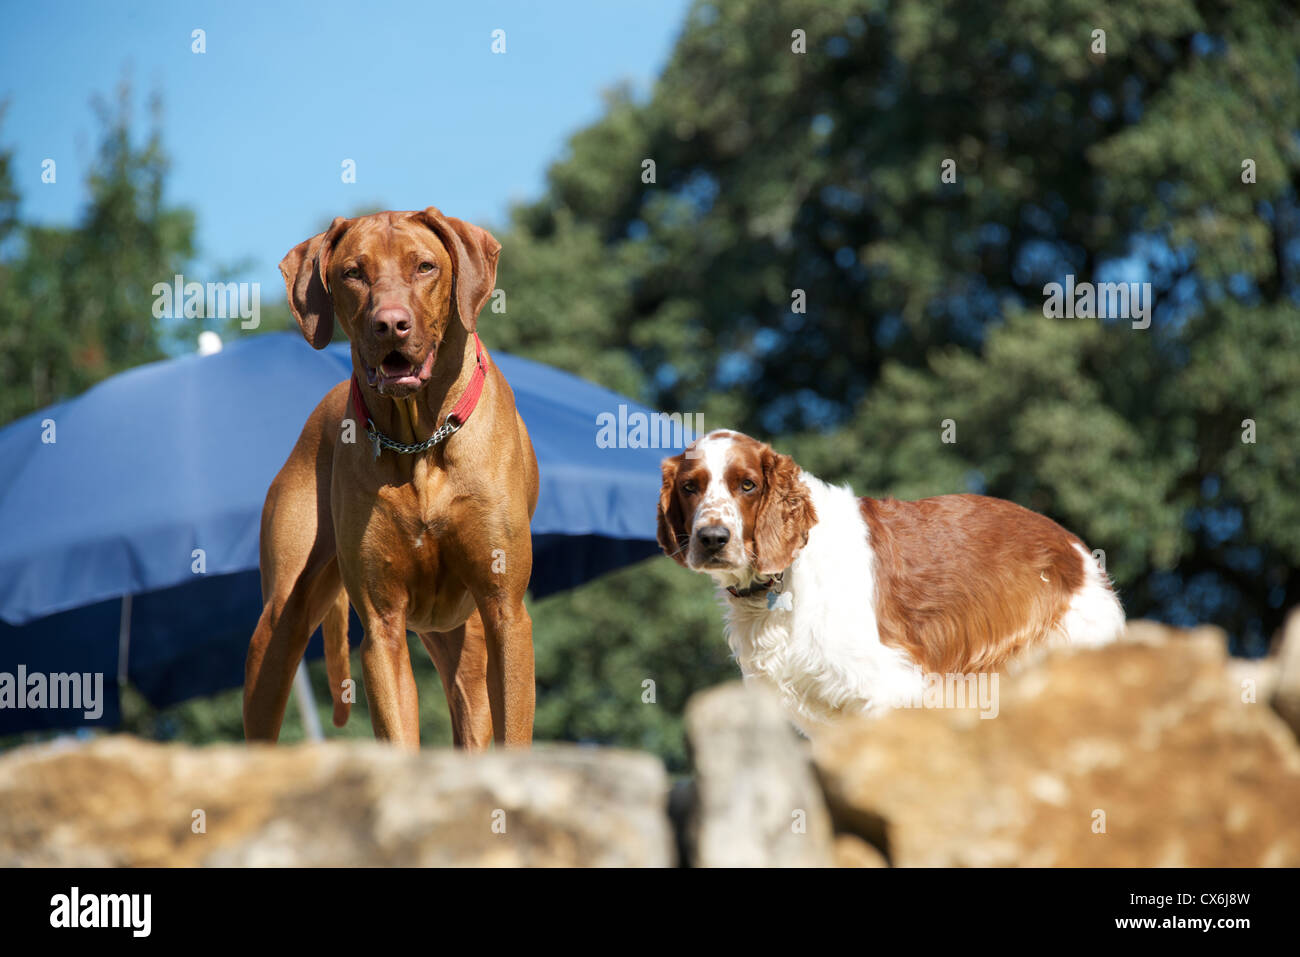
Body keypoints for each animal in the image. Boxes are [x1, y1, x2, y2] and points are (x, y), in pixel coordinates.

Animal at [243, 208, 538, 748]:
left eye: (424, 266)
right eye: (353, 273)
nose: (390, 324)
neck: (420, 442)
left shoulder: (505, 611)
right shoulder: (382, 627)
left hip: (463, 642)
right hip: (278, 626)